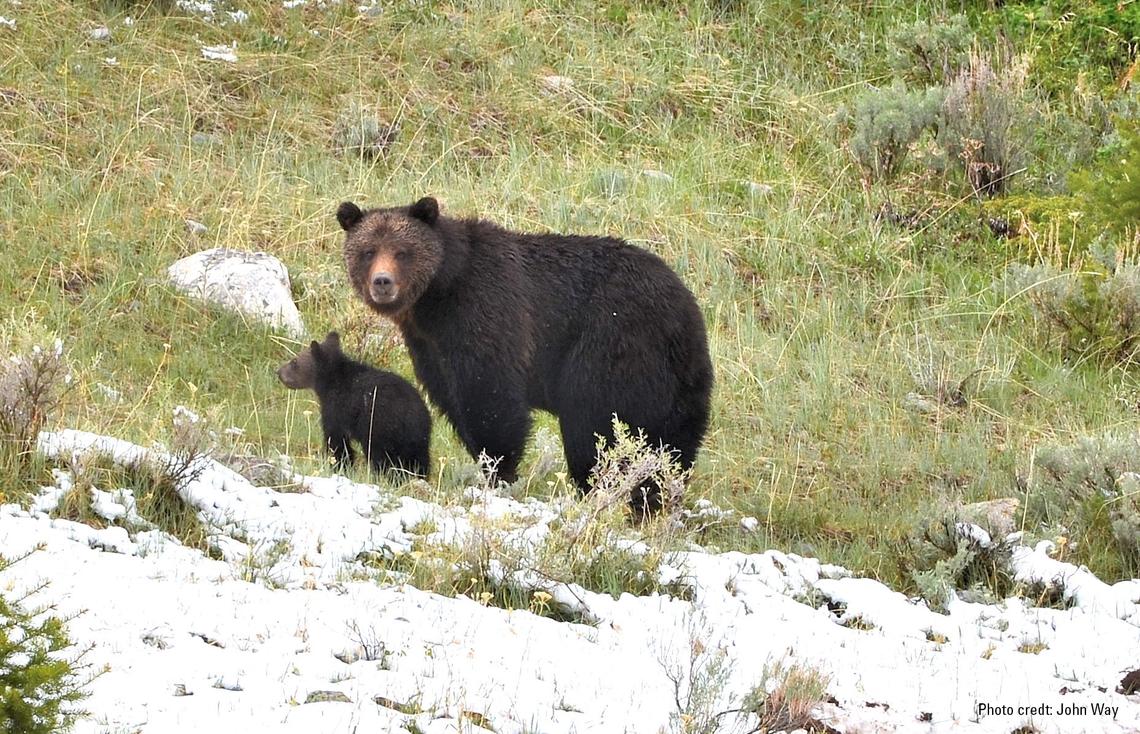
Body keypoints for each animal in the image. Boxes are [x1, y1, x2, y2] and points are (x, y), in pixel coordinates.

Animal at [277, 330, 430, 476]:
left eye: (294, 361)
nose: (278, 372)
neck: (331, 382)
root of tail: (413, 416)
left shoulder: (337, 408)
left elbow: (336, 439)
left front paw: (340, 465)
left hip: (380, 430)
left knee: (382, 458)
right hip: (419, 439)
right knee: (420, 461)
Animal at [337, 198, 711, 512]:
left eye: (402, 252)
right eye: (368, 251)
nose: (382, 282)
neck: (436, 296)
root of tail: (684, 308)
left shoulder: (484, 309)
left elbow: (491, 398)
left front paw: (499, 472)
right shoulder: (430, 346)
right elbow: (452, 399)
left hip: (613, 343)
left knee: (594, 423)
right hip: (681, 378)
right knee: (674, 440)